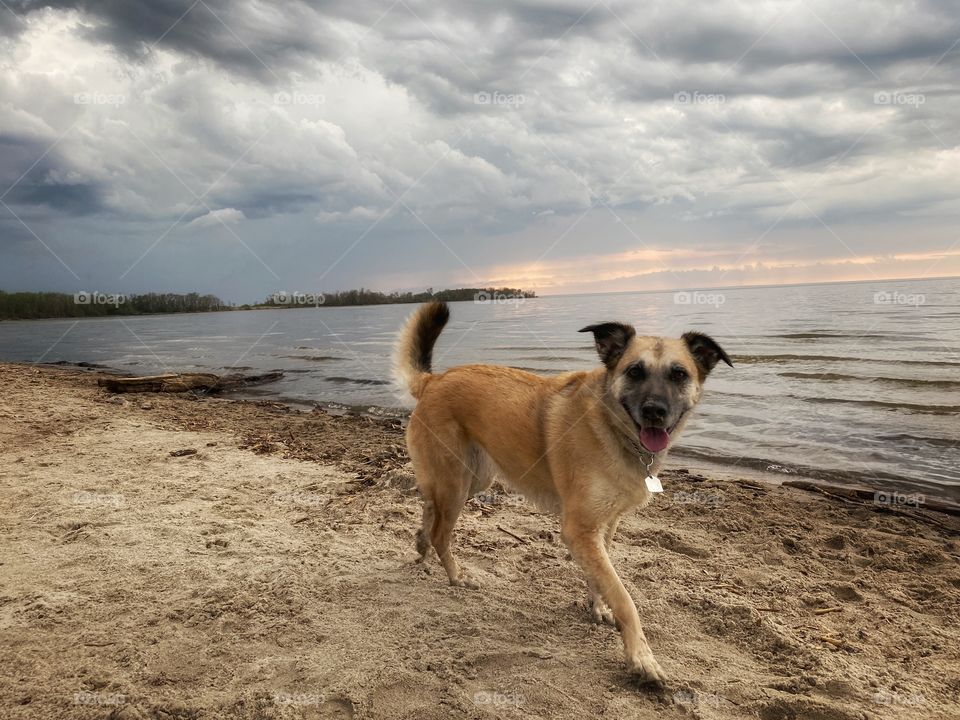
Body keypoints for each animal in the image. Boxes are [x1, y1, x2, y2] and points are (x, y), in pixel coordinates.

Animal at [394, 300, 732, 688]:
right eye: (635, 371)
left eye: (679, 375)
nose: (654, 412)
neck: (611, 426)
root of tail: (433, 381)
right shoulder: (579, 530)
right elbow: (624, 596)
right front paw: (641, 657)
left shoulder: (602, 527)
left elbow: (602, 577)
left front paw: (598, 606)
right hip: (457, 484)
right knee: (441, 532)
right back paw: (454, 575)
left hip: (472, 479)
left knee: (428, 506)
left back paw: (420, 545)